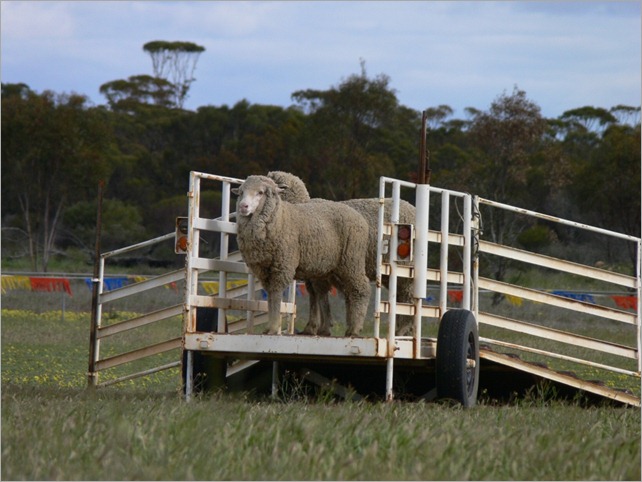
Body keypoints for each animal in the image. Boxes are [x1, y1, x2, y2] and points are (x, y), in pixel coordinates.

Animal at [230, 175, 370, 338]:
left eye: (260, 192)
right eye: (241, 192)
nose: (243, 207)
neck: (280, 218)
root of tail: (359, 217)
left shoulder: (283, 264)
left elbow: (276, 294)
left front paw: (273, 328)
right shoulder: (264, 269)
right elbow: (270, 295)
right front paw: (269, 327)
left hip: (352, 260)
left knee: (361, 289)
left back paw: (355, 329)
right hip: (332, 269)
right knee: (345, 292)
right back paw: (345, 327)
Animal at [264, 171, 416, 338]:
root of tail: (412, 208)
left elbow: (320, 294)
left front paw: (320, 327)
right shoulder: (315, 272)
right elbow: (315, 295)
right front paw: (314, 327)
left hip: (403, 266)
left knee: (407, 296)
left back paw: (402, 329)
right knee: (401, 298)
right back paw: (402, 330)